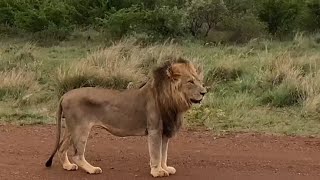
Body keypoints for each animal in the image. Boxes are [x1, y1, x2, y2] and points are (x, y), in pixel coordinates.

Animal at [45, 58, 206, 177]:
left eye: (199, 81)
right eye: (190, 81)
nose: (204, 92)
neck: (172, 100)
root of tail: (64, 95)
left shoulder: (165, 131)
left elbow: (163, 153)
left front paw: (165, 168)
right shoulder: (154, 129)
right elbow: (156, 153)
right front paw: (157, 171)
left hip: (72, 128)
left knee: (61, 147)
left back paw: (67, 166)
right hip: (81, 128)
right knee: (77, 155)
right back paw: (92, 169)